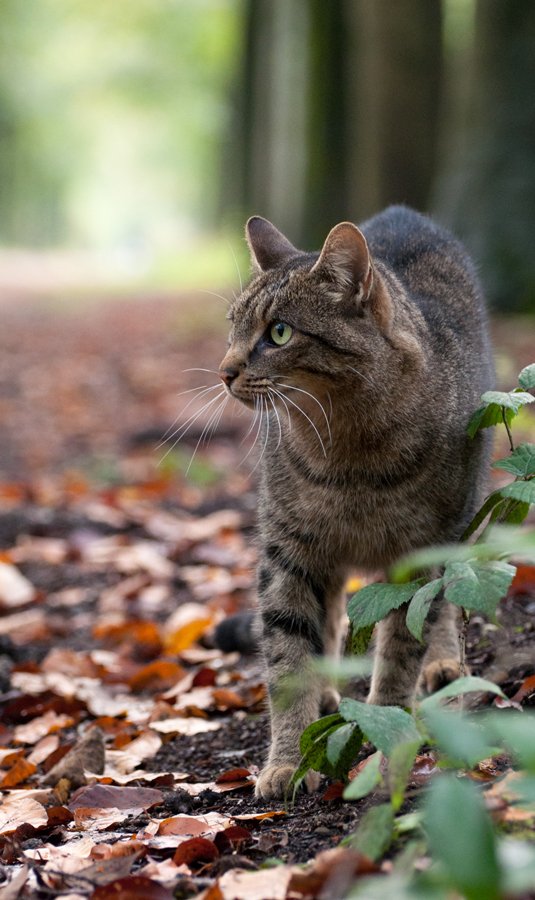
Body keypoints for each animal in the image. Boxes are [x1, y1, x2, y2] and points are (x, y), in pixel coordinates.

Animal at [216, 207, 492, 800]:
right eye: (233, 327)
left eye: (278, 332)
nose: (224, 372)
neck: (349, 454)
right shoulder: (288, 552)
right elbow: (289, 660)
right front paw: (287, 761)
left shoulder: (418, 558)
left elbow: (401, 648)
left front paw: (387, 739)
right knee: (333, 617)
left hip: (461, 526)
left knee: (447, 607)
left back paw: (444, 664)